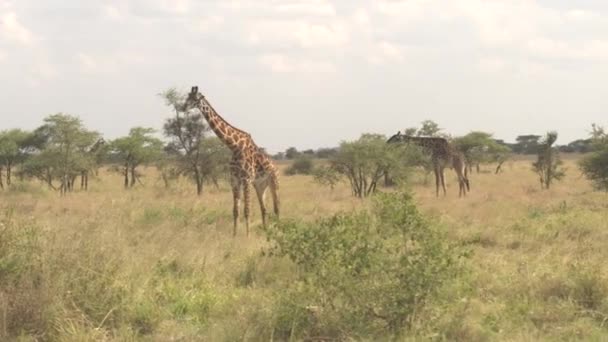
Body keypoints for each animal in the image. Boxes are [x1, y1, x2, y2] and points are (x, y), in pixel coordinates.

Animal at [180, 86, 280, 235]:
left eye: (194, 99)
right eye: (187, 97)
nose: (182, 107)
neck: (234, 146)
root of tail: (276, 166)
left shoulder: (246, 179)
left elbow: (246, 210)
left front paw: (247, 236)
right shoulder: (234, 179)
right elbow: (235, 211)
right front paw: (234, 236)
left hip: (274, 182)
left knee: (277, 207)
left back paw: (279, 230)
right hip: (260, 185)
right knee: (264, 209)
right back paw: (266, 232)